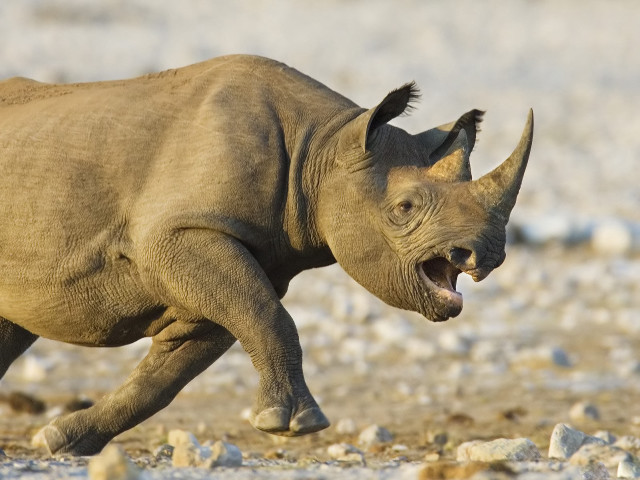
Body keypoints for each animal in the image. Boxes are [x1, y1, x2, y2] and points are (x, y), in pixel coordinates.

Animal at [0, 55, 533, 455]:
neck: (323, 148)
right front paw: (295, 424)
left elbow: (170, 371)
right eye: (404, 208)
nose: (486, 253)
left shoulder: (228, 260)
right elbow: (269, 317)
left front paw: (63, 442)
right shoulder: (182, 233)